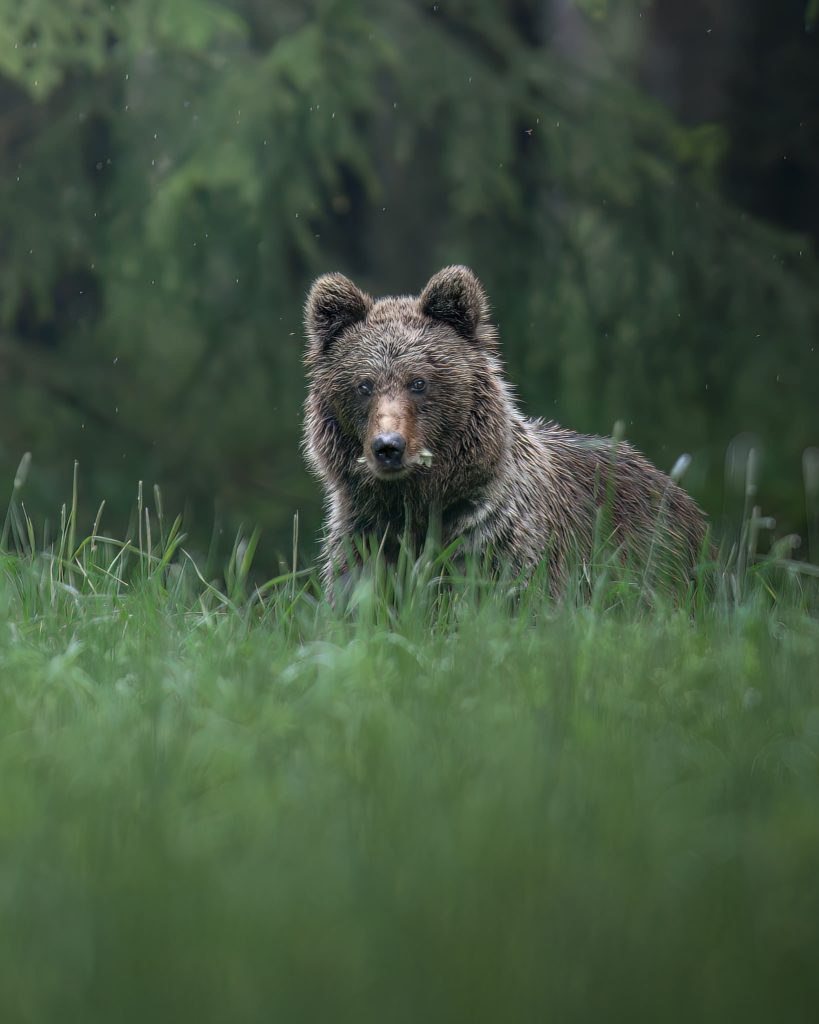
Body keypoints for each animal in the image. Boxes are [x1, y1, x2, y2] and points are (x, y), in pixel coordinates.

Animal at [302, 265, 709, 596]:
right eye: (364, 385)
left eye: (418, 382)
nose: (389, 446)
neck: (418, 498)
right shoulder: (368, 535)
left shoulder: (492, 537)